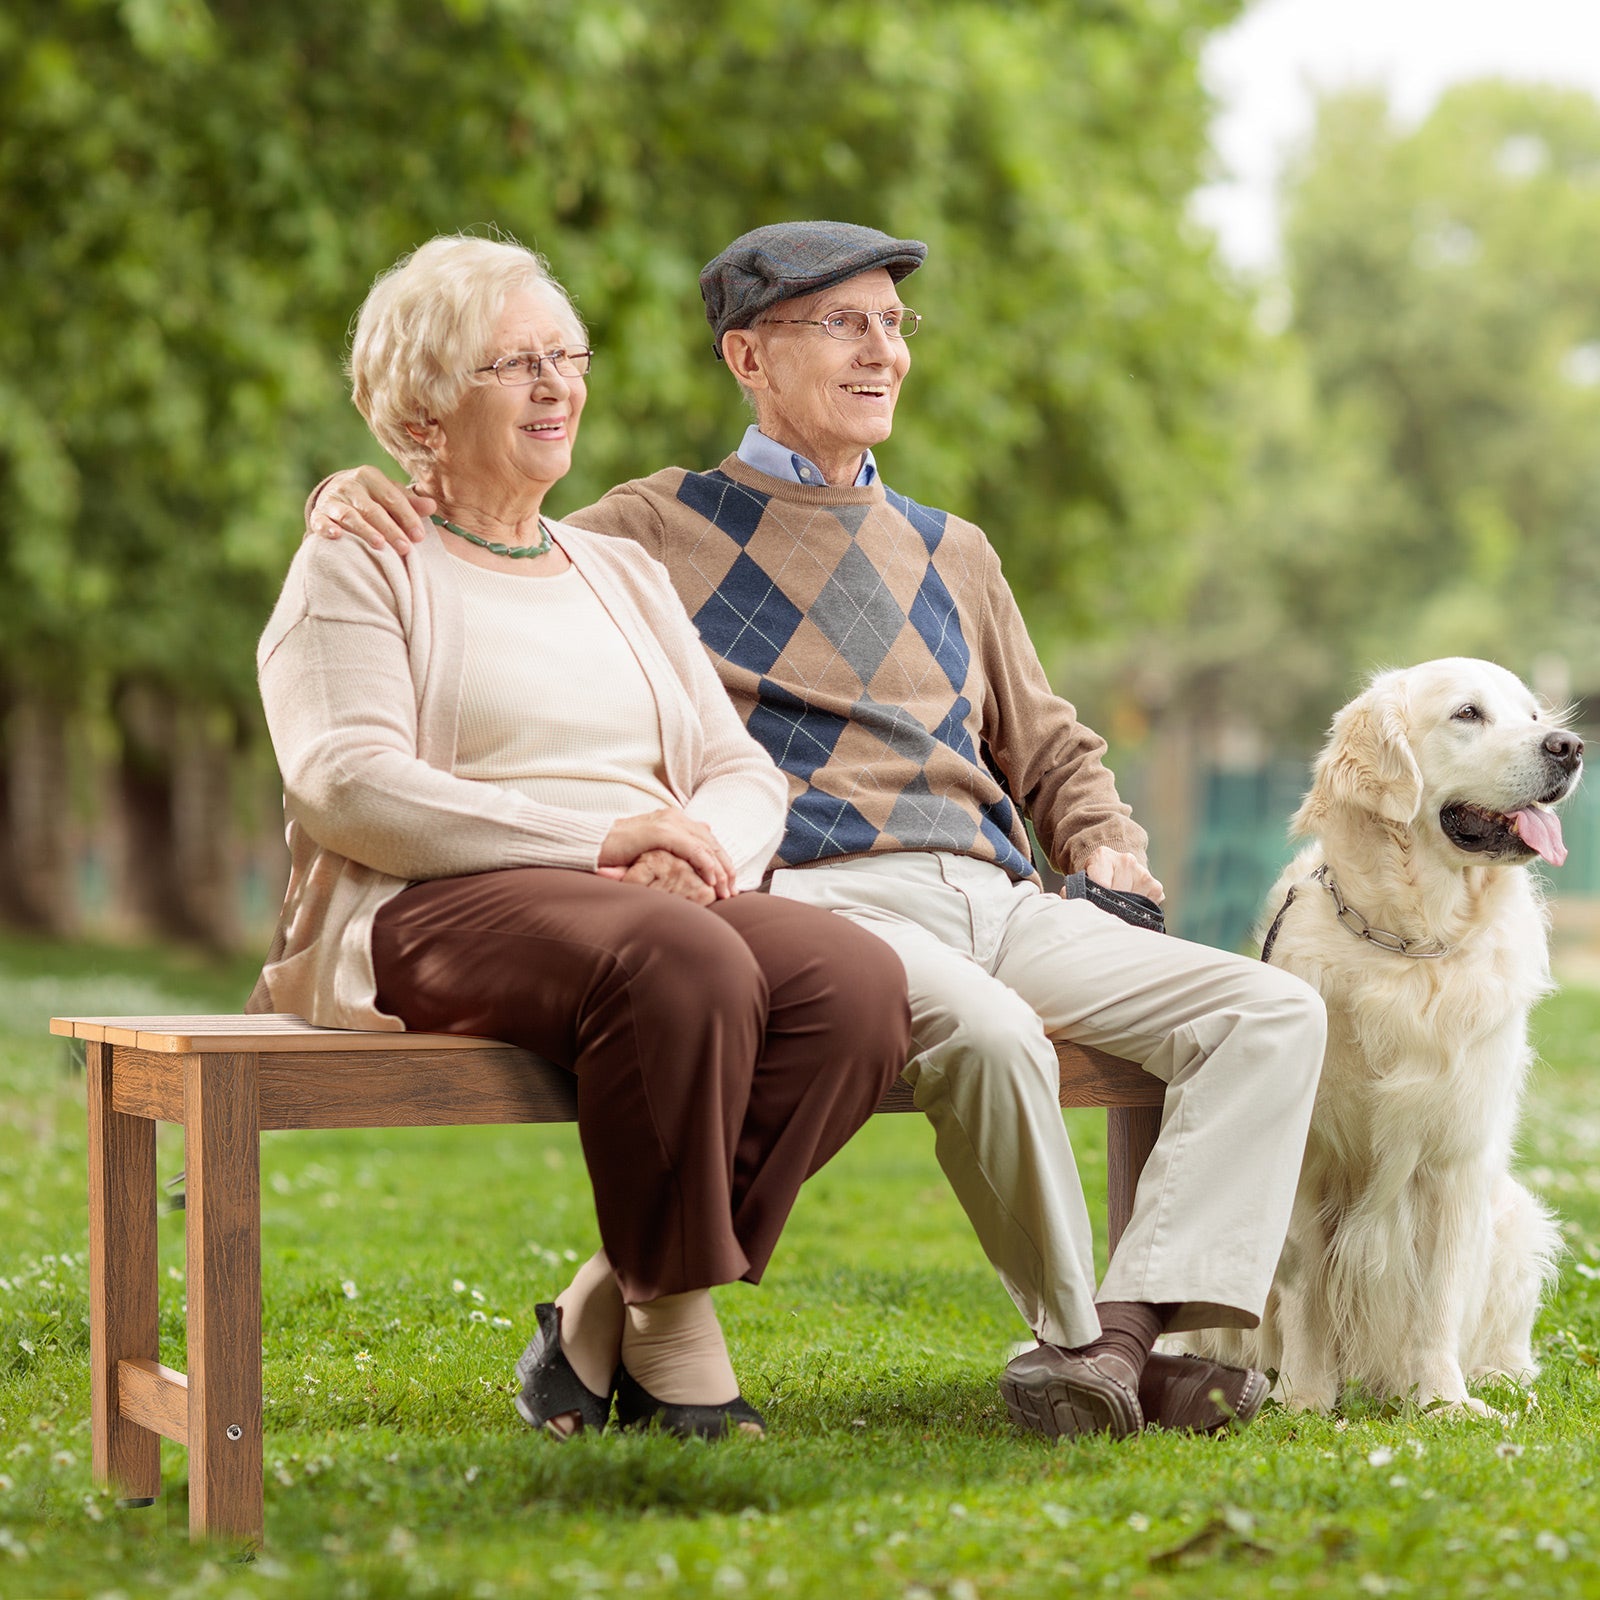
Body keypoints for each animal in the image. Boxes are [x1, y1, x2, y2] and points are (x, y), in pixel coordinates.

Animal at [1190, 656, 1574, 1408]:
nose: (1569, 747)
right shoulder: (1309, 1156)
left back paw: (1498, 1378)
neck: (1410, 946)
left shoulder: (1454, 1159)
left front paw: (1443, 1402)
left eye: (1533, 716)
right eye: (1467, 714)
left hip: (1513, 1214)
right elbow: (1307, 1292)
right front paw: (1306, 1399)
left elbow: (1439, 1299)